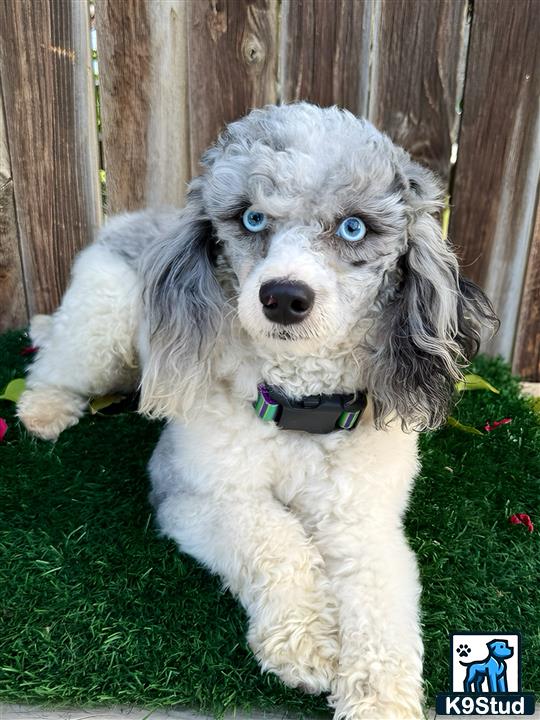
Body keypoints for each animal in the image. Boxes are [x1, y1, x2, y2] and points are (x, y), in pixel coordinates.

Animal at [16, 102, 498, 720]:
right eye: (250, 218)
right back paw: (44, 408)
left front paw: (380, 697)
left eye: (354, 227)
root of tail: (130, 219)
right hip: (102, 326)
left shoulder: (363, 522)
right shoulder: (192, 494)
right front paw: (306, 644)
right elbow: (276, 537)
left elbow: (382, 605)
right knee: (57, 360)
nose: (285, 297)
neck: (298, 409)